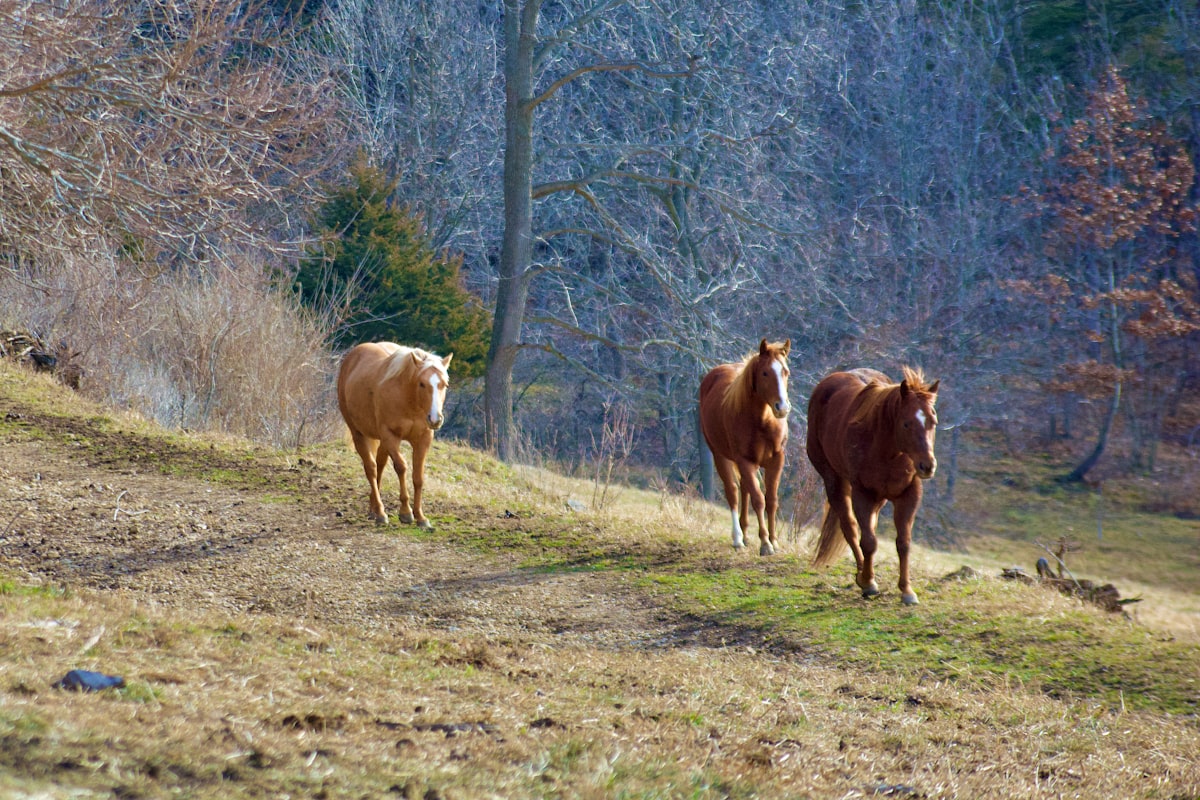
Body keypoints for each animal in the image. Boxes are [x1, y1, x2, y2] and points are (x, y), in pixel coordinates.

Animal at [336, 342, 452, 528]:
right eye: (422, 383)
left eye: (445, 385)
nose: (435, 419)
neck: (409, 399)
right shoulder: (390, 436)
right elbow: (401, 467)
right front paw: (405, 512)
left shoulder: (423, 439)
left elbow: (418, 476)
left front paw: (421, 517)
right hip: (358, 434)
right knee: (371, 468)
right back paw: (380, 512)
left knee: (380, 465)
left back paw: (373, 510)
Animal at [698, 338, 792, 555]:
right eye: (765, 373)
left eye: (785, 371)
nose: (782, 408)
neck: (762, 421)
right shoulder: (744, 460)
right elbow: (759, 499)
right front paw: (765, 543)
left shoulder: (777, 459)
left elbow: (771, 500)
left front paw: (774, 541)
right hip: (720, 456)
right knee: (733, 492)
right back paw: (738, 538)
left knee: (744, 490)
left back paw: (746, 533)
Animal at [806, 366, 939, 605]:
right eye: (907, 423)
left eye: (933, 422)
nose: (927, 466)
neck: (888, 451)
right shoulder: (863, 494)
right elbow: (867, 541)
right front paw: (868, 583)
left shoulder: (908, 495)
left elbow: (903, 543)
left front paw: (907, 591)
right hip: (834, 481)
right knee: (850, 527)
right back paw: (862, 574)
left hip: (880, 497)